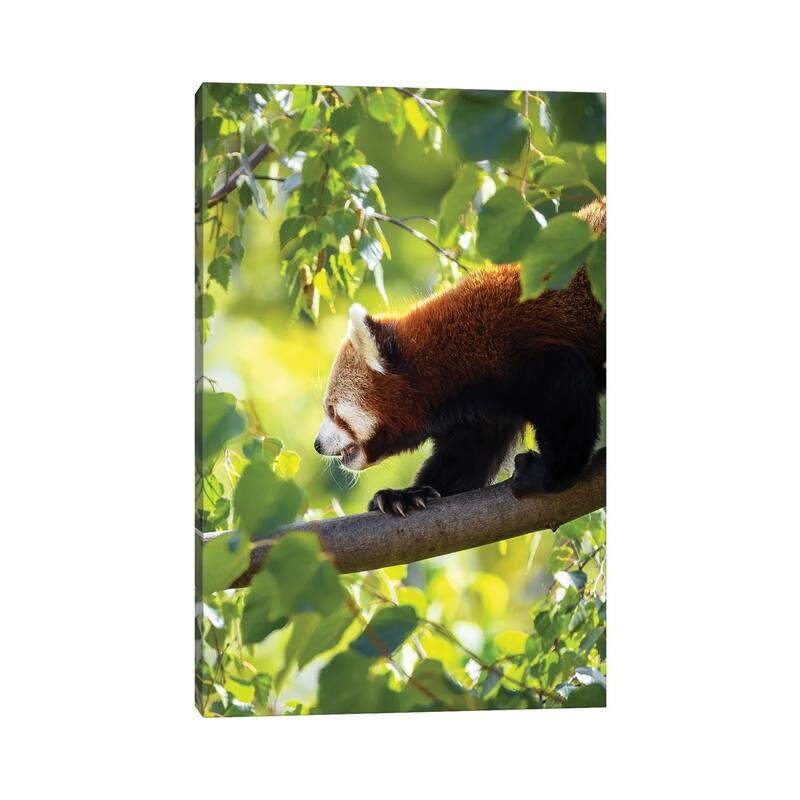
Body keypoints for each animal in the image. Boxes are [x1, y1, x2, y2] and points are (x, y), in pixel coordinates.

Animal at [314, 197, 606, 516]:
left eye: (332, 410)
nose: (317, 445)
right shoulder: (486, 408)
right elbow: (467, 456)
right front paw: (404, 495)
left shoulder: (530, 356)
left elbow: (567, 403)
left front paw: (549, 474)